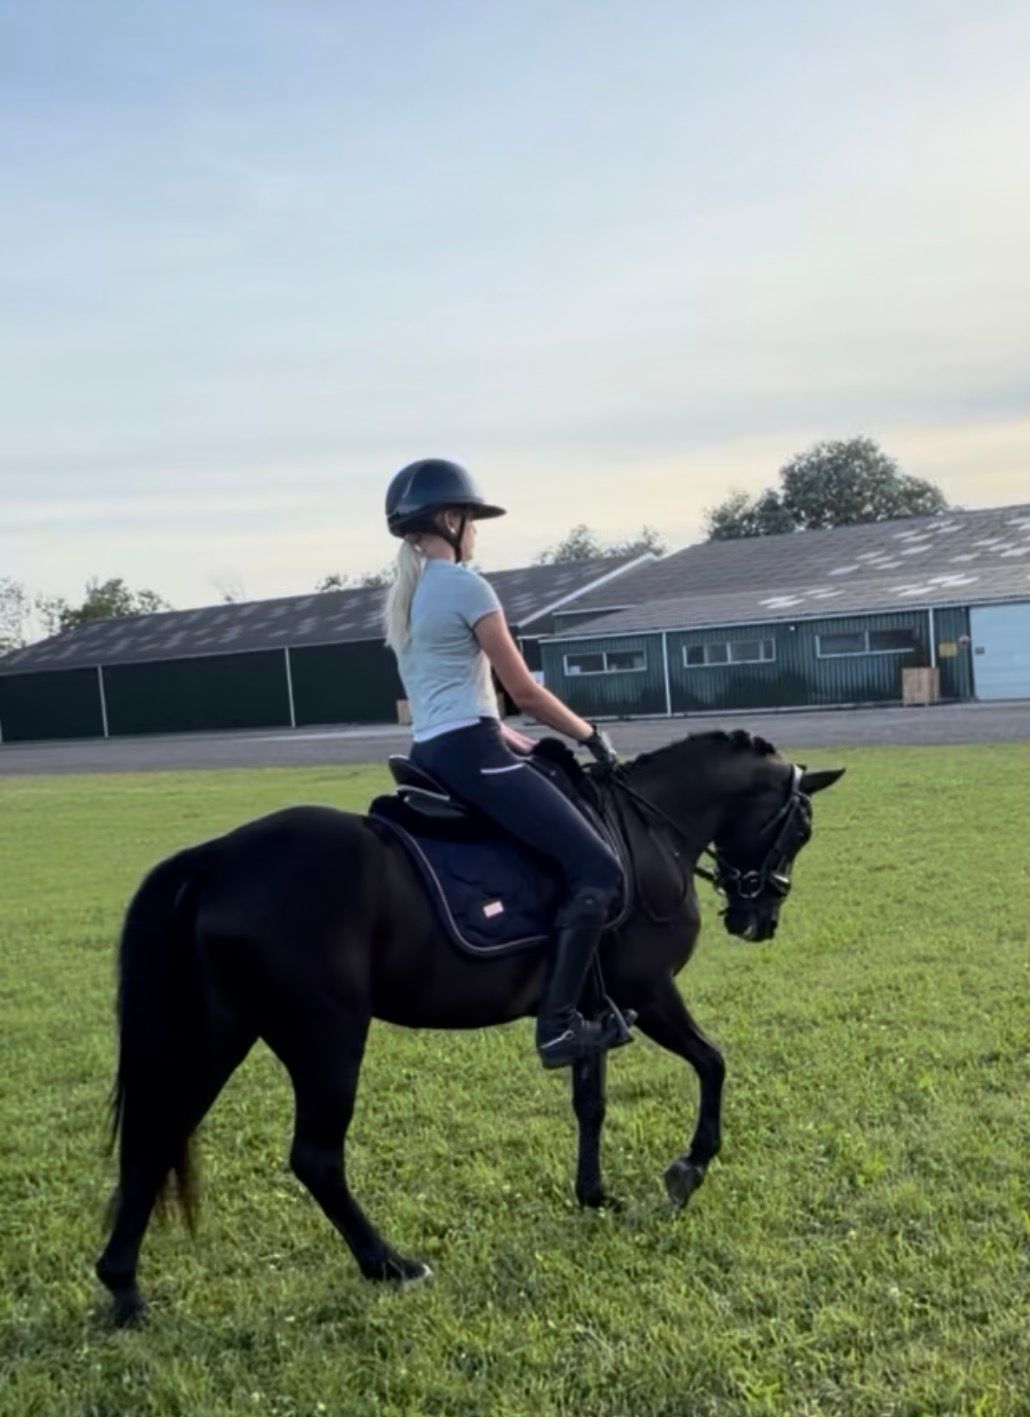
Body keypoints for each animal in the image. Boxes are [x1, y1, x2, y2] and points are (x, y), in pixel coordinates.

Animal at [96, 729, 843, 1326]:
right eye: (800, 829)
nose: (757, 919)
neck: (645, 832)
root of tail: (215, 859)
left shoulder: (594, 1008)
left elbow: (591, 1101)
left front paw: (594, 1194)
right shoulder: (649, 990)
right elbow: (713, 1060)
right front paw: (690, 1166)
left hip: (220, 1031)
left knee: (157, 1139)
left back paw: (123, 1288)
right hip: (326, 1038)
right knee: (314, 1156)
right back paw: (387, 1264)